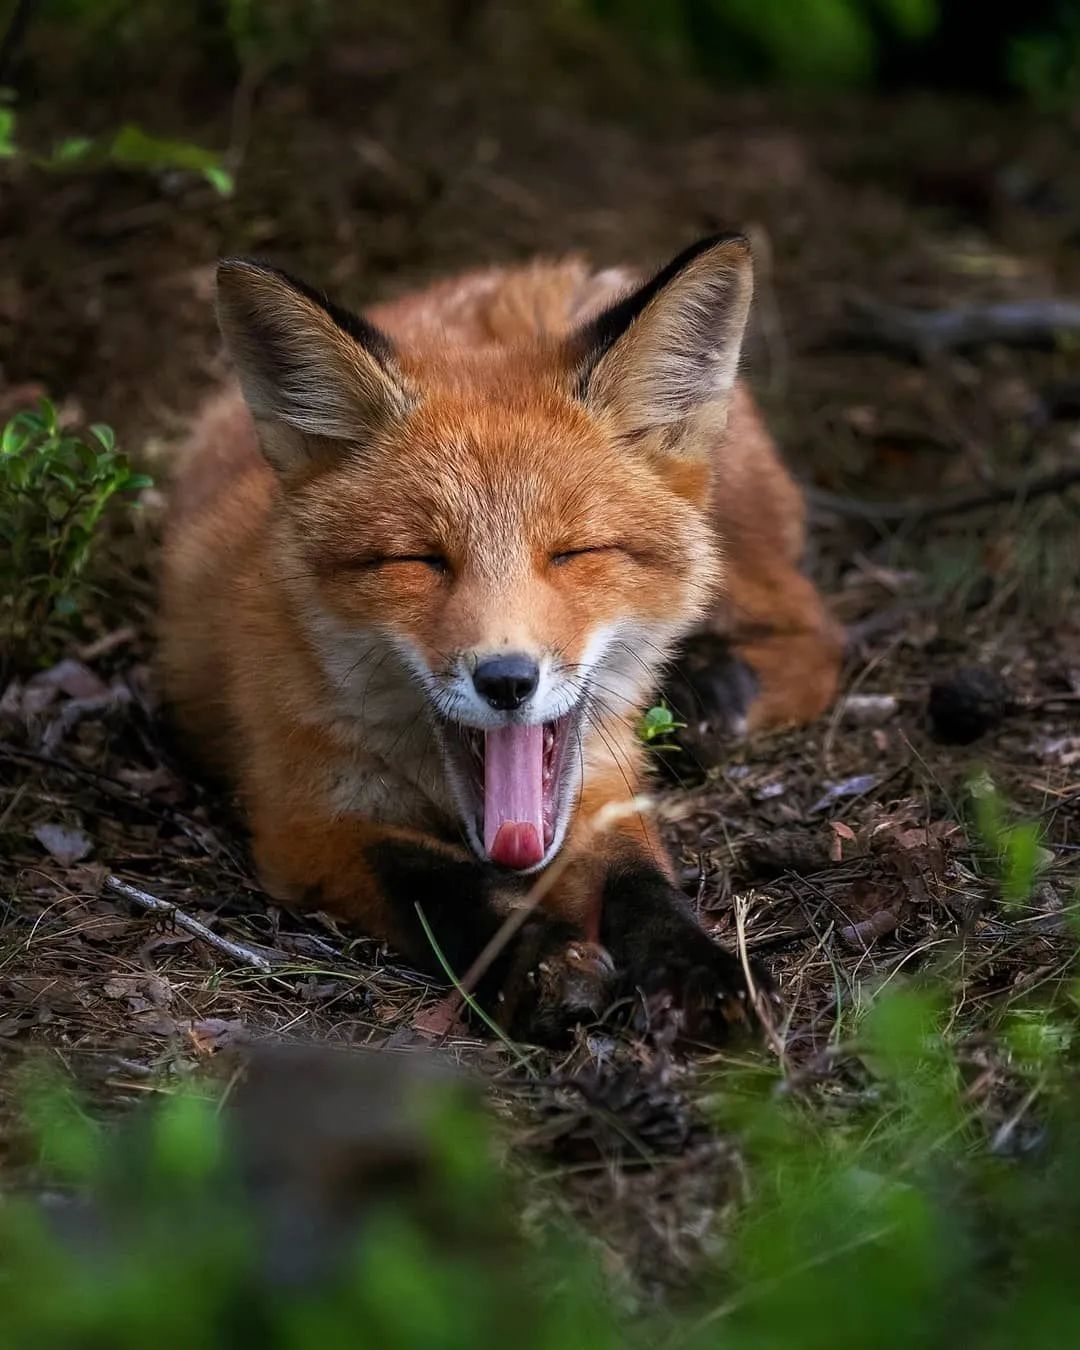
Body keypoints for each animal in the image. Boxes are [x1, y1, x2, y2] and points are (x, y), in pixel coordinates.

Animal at [160, 237, 842, 1042]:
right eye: (420, 560)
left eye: (574, 554)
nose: (508, 680)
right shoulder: (304, 818)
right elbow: (443, 887)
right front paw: (541, 963)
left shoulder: (601, 780)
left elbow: (644, 886)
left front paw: (700, 965)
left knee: (821, 633)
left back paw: (710, 696)